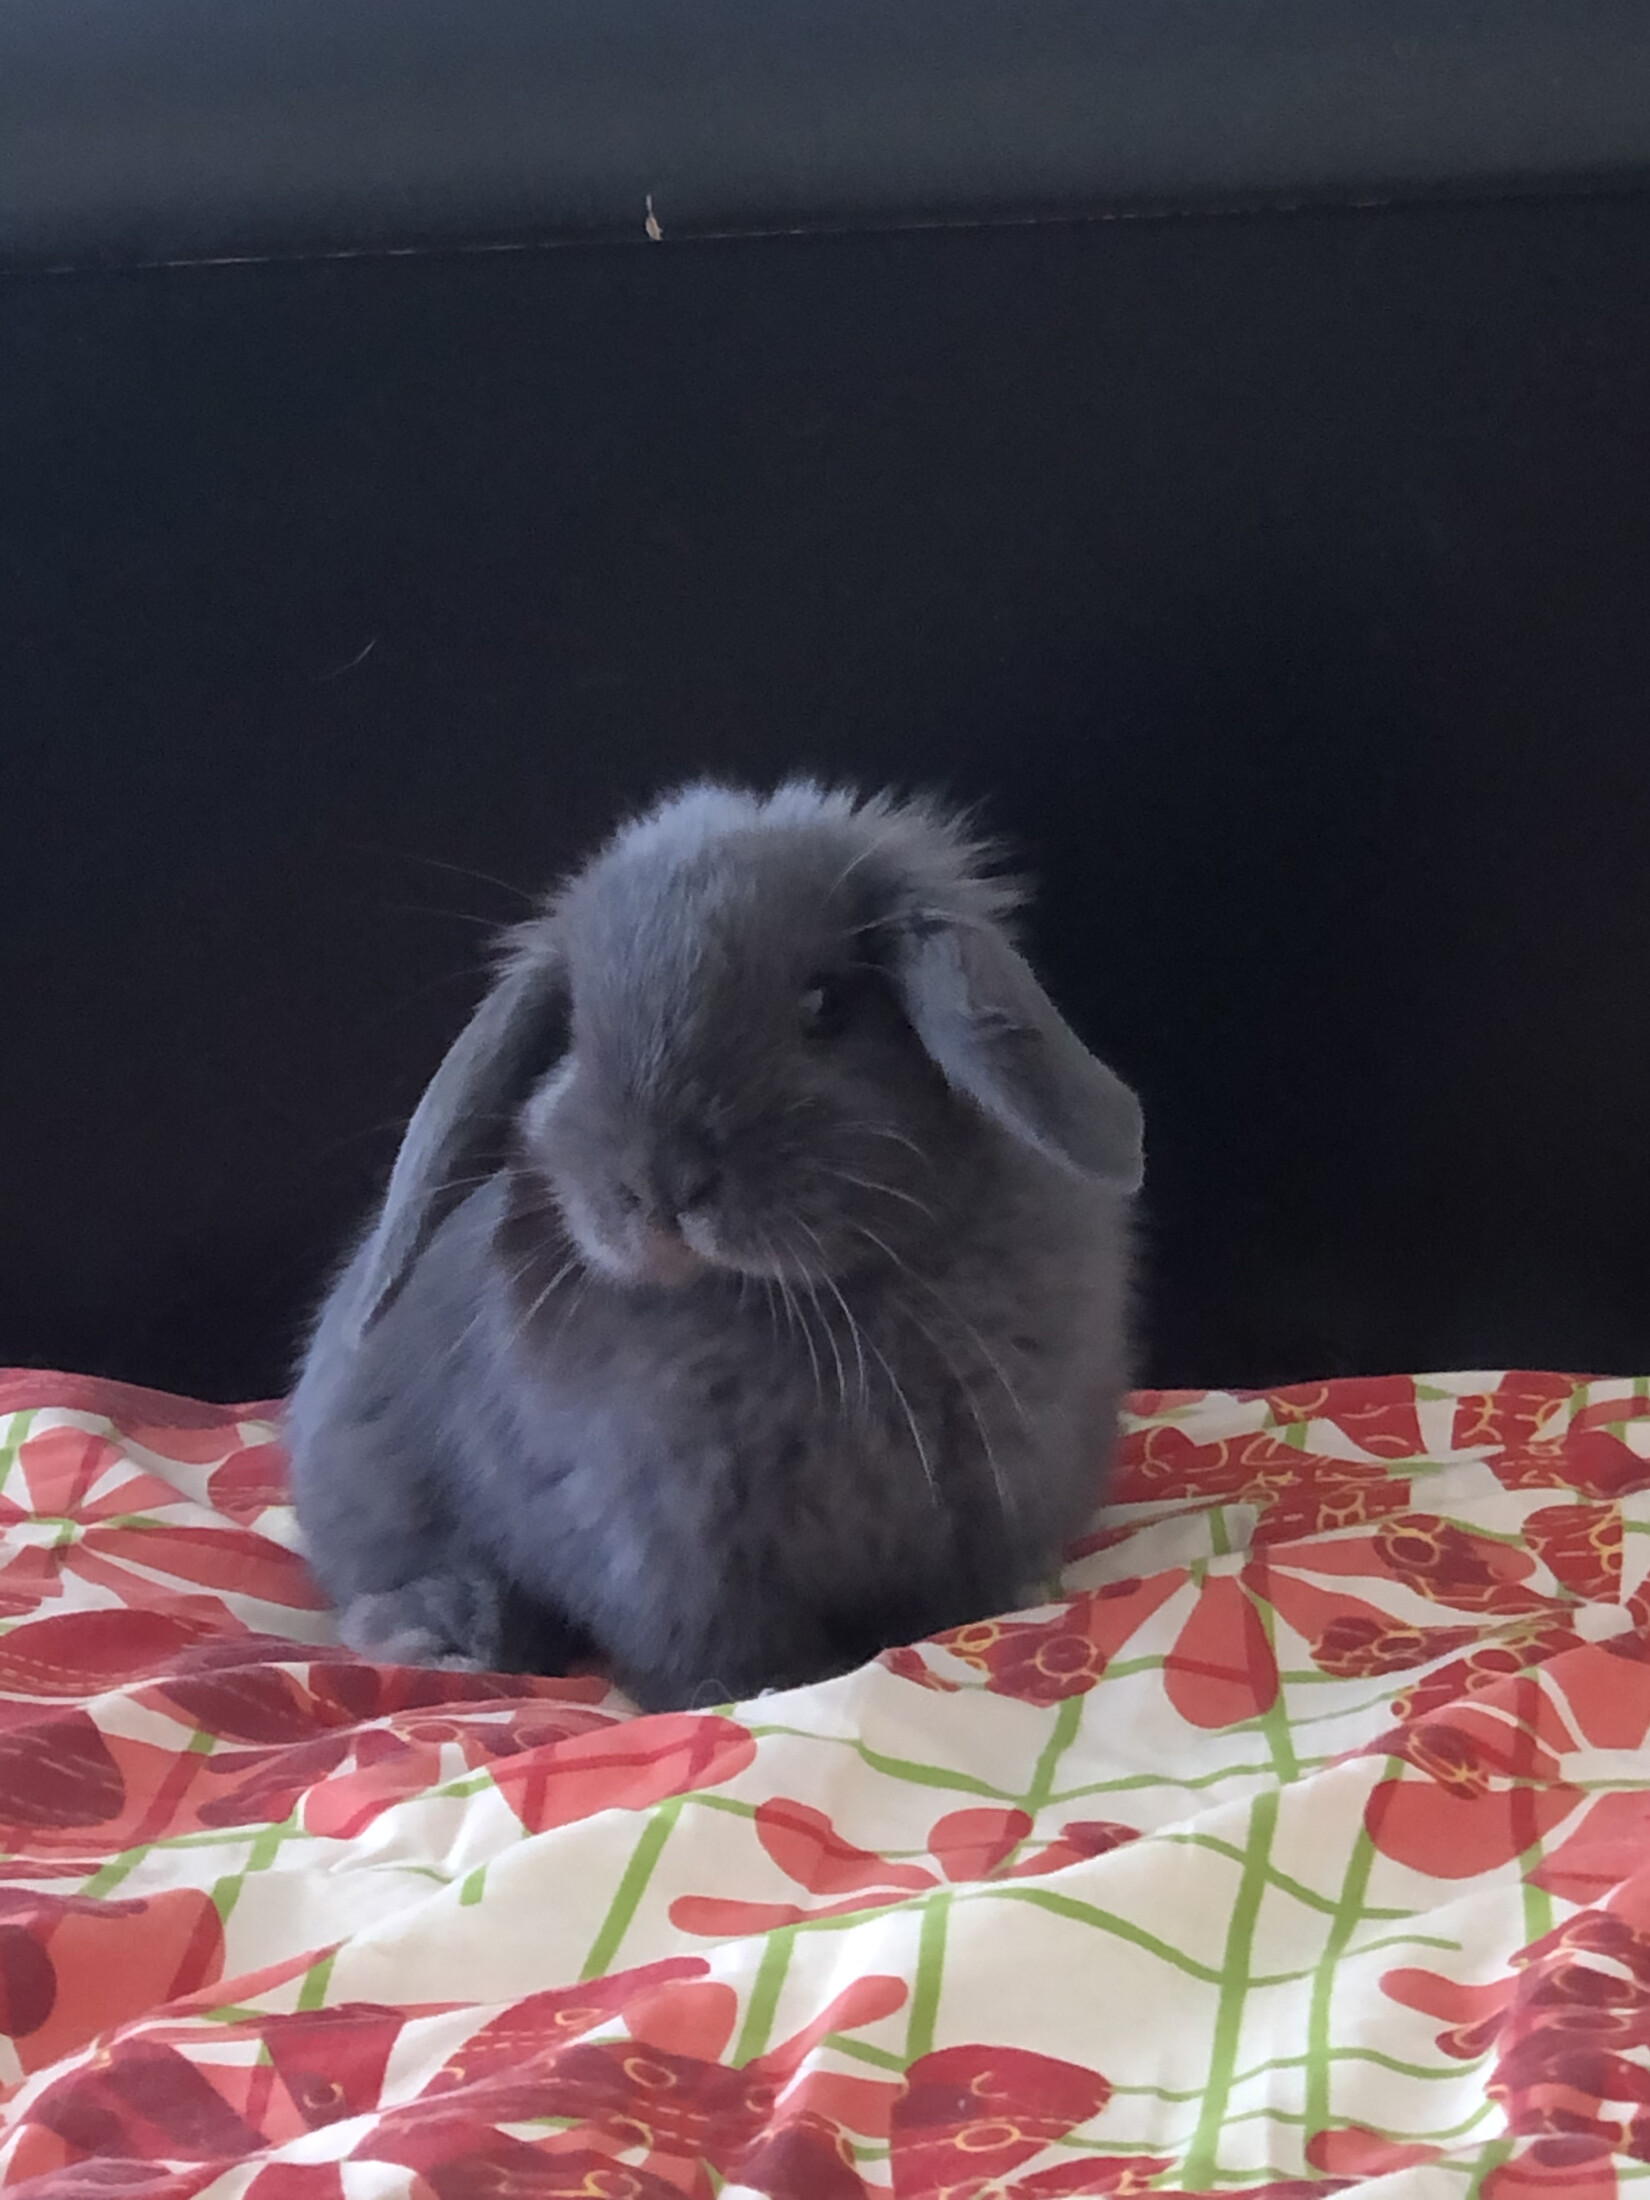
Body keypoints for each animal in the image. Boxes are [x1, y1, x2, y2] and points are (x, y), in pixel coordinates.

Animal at [287, 781, 1144, 1711]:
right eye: (575, 1031)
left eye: (825, 1006)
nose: (661, 1184)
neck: (799, 1306)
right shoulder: (670, 1549)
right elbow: (717, 1652)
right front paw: (752, 1690)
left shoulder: (979, 1511)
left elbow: (951, 1607)